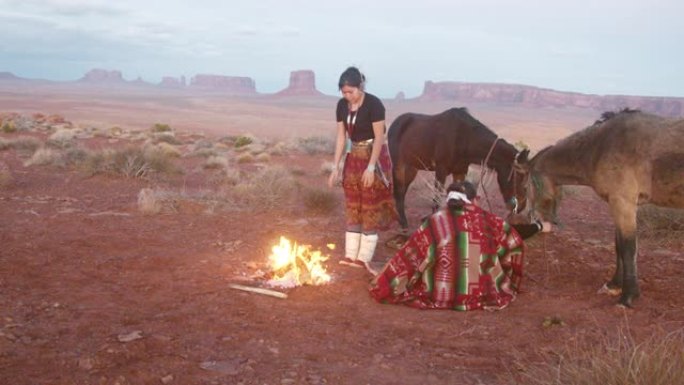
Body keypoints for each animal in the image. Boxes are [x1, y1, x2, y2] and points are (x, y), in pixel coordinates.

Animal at [388, 106, 528, 230]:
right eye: (518, 176)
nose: (521, 206)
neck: (464, 137)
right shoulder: (441, 171)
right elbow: (437, 199)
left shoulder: (460, 172)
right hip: (399, 166)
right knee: (399, 192)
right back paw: (404, 224)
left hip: (412, 169)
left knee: (402, 190)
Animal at [520, 108, 684, 306]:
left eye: (526, 187)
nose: (532, 219)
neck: (600, 146)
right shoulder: (617, 204)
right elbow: (618, 245)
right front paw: (614, 285)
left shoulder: (623, 203)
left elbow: (628, 248)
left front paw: (627, 296)